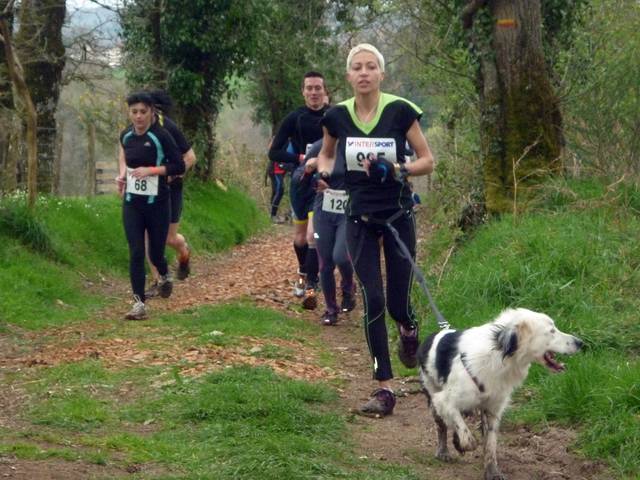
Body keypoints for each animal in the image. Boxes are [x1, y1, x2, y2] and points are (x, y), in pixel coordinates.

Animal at [417, 308, 583, 480]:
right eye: (551, 331)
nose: (580, 343)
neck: (498, 355)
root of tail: (429, 338)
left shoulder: (493, 409)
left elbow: (490, 444)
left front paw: (492, 472)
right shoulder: (444, 400)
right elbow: (466, 434)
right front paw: (464, 444)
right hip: (432, 393)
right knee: (441, 425)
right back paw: (443, 451)